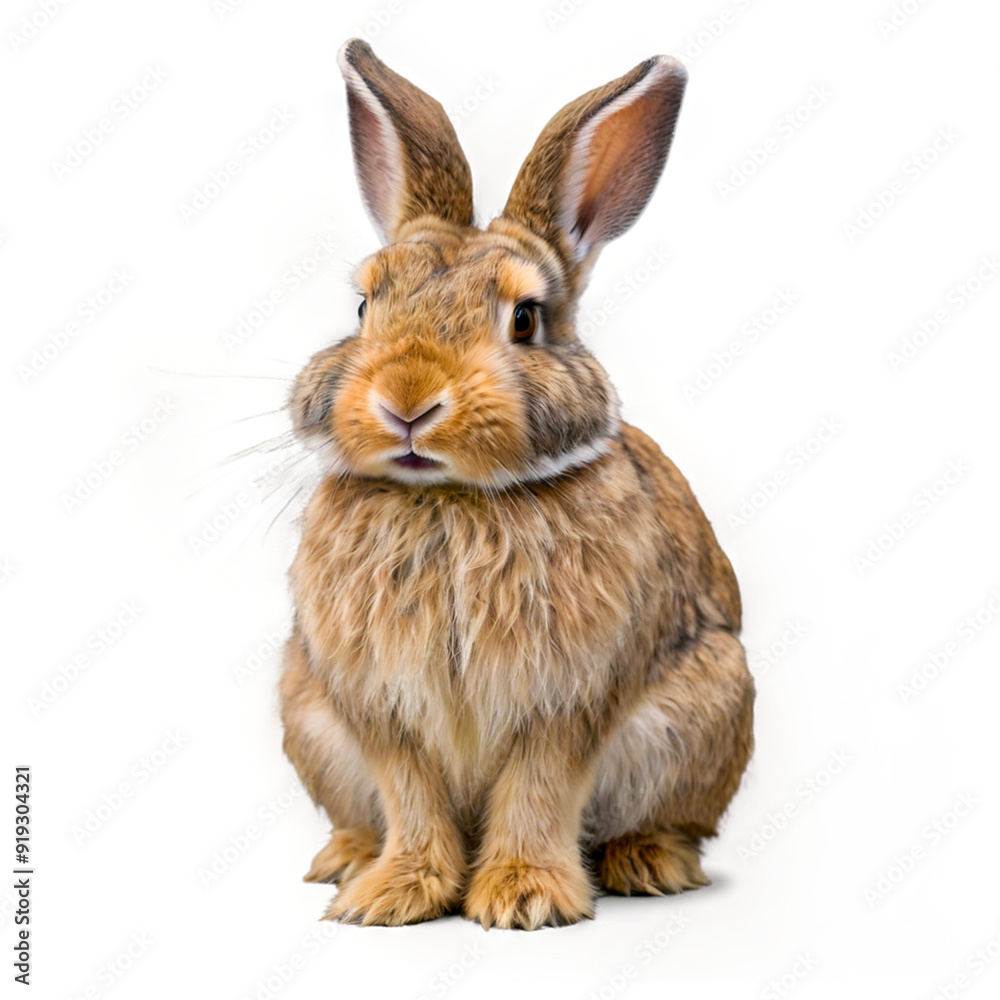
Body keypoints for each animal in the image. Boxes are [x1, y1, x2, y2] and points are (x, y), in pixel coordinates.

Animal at [279, 38, 754, 930]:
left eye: (526, 320)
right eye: (364, 308)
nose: (407, 401)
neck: (451, 502)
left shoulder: (565, 703)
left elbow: (539, 791)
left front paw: (523, 898)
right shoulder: (383, 708)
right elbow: (411, 796)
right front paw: (391, 897)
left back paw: (647, 862)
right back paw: (347, 859)